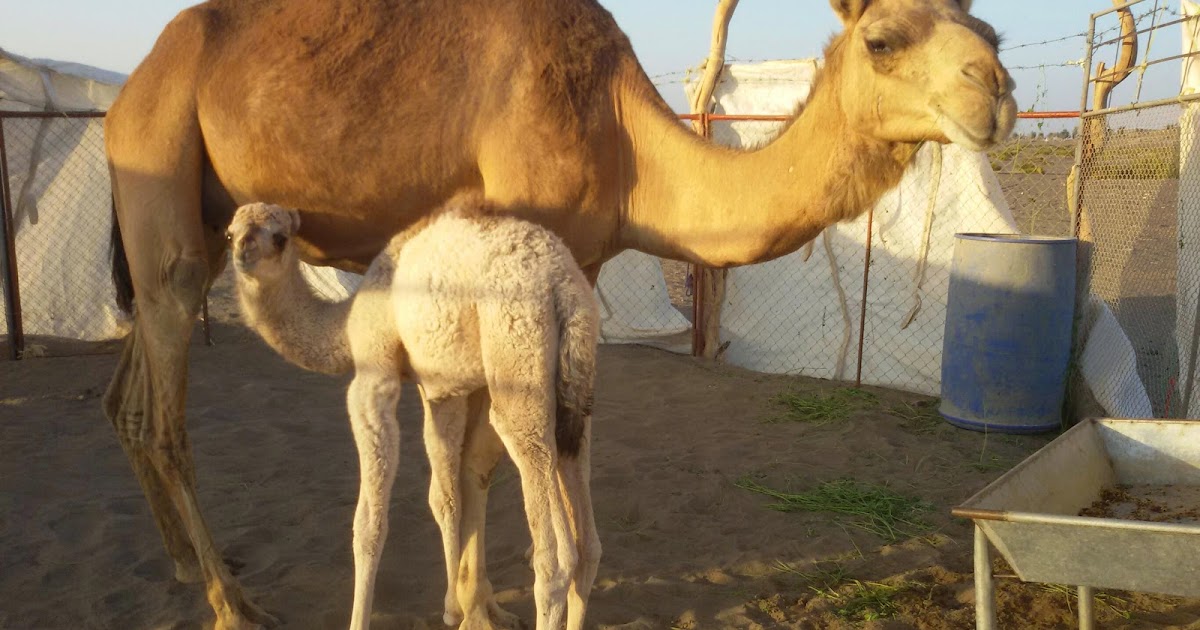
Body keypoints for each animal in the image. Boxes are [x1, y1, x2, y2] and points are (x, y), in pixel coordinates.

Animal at [226, 198, 600, 630]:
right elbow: (444, 496)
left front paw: (362, 618)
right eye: (230, 232)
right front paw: (453, 609)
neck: (346, 324)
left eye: (280, 237)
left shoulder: (375, 375)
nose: (244, 253)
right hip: (574, 386)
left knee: (555, 558)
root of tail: (563, 284)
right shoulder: (440, 389)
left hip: (517, 364)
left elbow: (369, 523)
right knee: (588, 544)